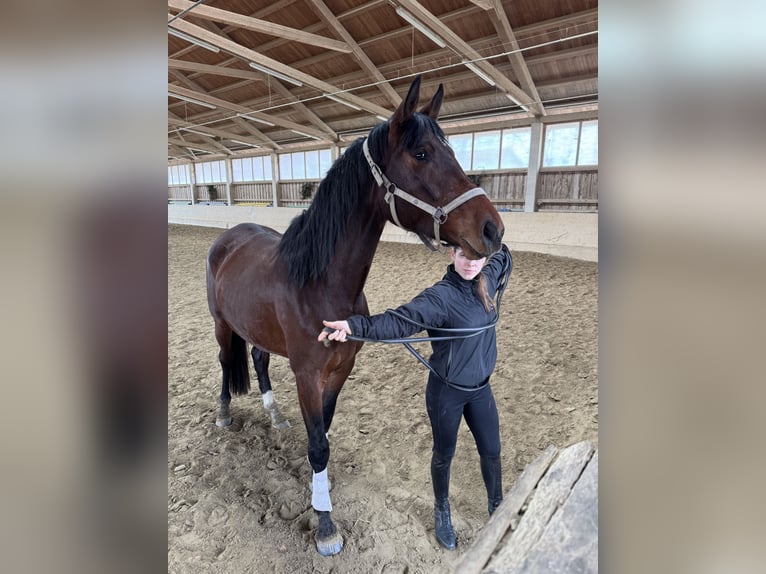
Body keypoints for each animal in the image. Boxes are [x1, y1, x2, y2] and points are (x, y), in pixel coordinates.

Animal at [205, 76, 505, 556]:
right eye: (422, 153)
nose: (493, 229)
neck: (320, 285)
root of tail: (229, 238)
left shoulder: (340, 370)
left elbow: (322, 435)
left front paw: (318, 494)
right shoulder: (308, 375)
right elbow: (318, 446)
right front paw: (326, 526)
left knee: (258, 358)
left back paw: (275, 415)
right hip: (220, 325)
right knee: (224, 362)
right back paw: (224, 414)